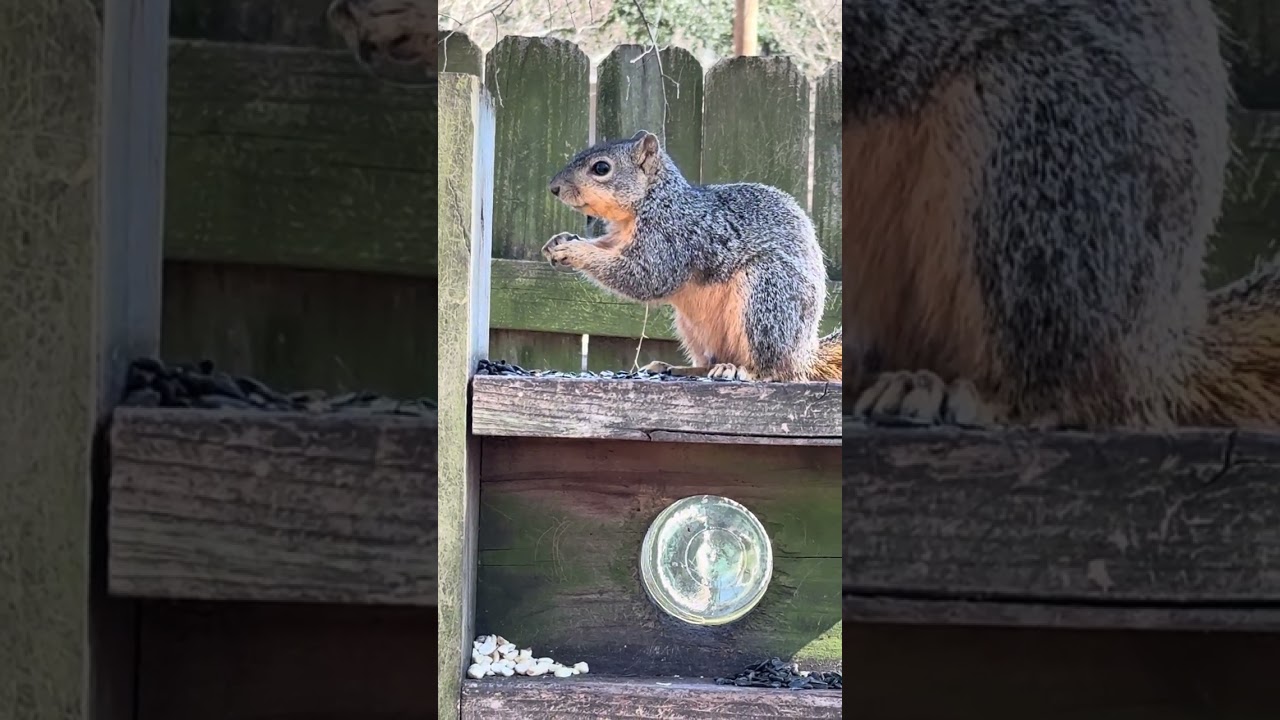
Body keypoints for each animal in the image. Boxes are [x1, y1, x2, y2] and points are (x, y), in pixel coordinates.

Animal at [542, 130, 842, 383]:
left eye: (601, 168)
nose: (554, 188)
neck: (652, 203)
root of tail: (804, 356)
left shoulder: (672, 240)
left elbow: (644, 277)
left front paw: (574, 250)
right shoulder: (617, 239)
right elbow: (604, 248)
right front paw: (560, 241)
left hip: (767, 297)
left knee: (773, 369)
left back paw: (743, 371)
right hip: (693, 327)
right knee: (709, 361)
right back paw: (677, 368)